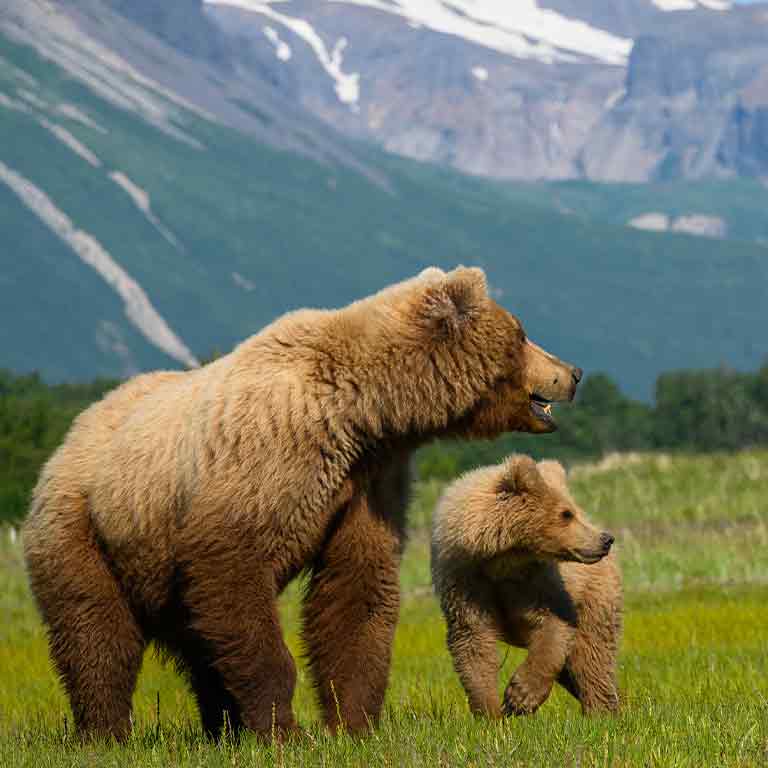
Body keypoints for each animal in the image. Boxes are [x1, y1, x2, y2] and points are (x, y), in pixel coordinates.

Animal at [22, 268, 584, 740]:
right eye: (521, 333)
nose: (573, 371)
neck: (366, 412)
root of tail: (68, 438)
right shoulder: (269, 455)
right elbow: (235, 571)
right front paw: (282, 729)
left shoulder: (368, 480)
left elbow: (357, 589)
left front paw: (352, 724)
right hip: (89, 529)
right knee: (97, 633)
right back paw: (106, 730)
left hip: (160, 565)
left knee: (198, 640)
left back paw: (222, 726)